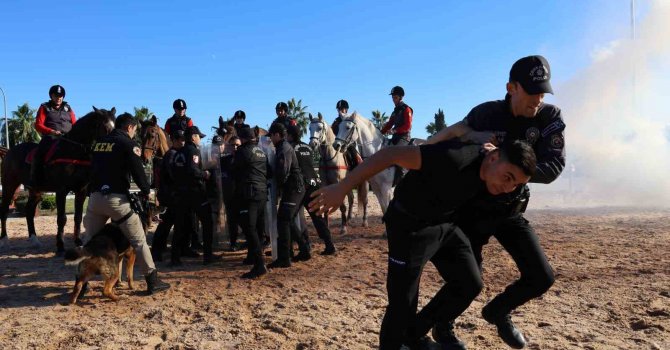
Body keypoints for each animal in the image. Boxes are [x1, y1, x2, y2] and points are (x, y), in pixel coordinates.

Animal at [0, 105, 117, 253]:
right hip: (9, 185)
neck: (72, 151)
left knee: (29, 211)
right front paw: (60, 245)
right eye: (105, 127)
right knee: (4, 210)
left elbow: (78, 217)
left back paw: (34, 239)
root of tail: (9, 152)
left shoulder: (81, 191)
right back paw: (4, 240)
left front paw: (78, 241)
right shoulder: (61, 191)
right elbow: (61, 218)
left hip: (36, 191)